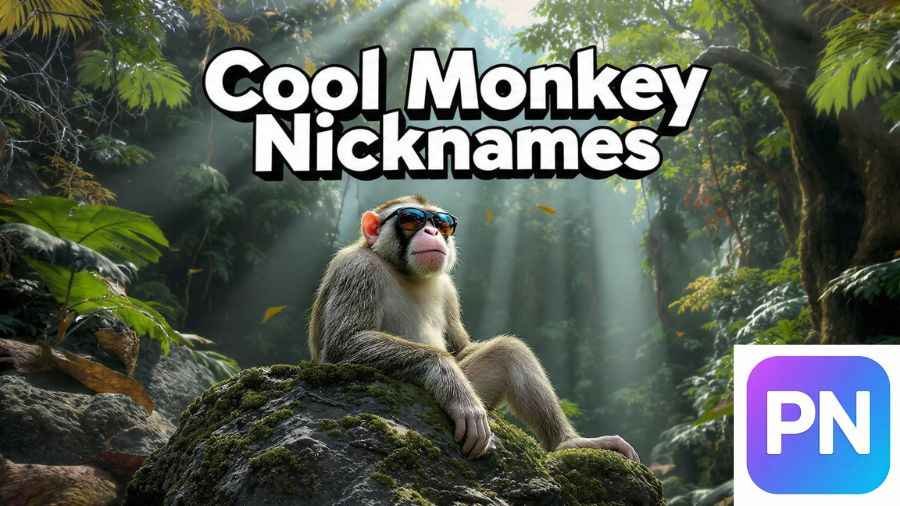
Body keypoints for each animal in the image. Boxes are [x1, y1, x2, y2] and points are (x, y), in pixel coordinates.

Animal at [309, 195, 639, 461]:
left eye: (442, 223)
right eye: (411, 219)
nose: (432, 231)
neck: (404, 272)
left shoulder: (448, 290)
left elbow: (462, 349)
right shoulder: (357, 269)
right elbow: (344, 344)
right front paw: (449, 378)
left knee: (509, 350)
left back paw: (566, 443)